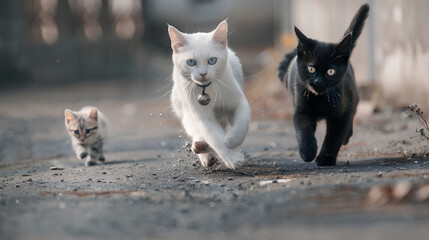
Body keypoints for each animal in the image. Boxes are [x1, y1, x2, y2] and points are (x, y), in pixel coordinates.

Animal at [166, 19, 249, 169]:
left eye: (212, 60)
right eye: (191, 62)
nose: (203, 73)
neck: (207, 89)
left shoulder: (239, 102)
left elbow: (242, 123)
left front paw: (232, 140)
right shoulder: (202, 117)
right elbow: (215, 137)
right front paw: (232, 157)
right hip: (185, 112)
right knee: (197, 132)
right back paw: (201, 148)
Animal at [278, 3, 368, 166]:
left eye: (330, 71)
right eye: (311, 69)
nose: (318, 81)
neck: (320, 99)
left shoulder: (341, 114)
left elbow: (334, 138)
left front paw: (325, 158)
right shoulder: (301, 109)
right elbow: (303, 130)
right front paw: (308, 151)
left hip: (353, 97)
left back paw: (347, 137)